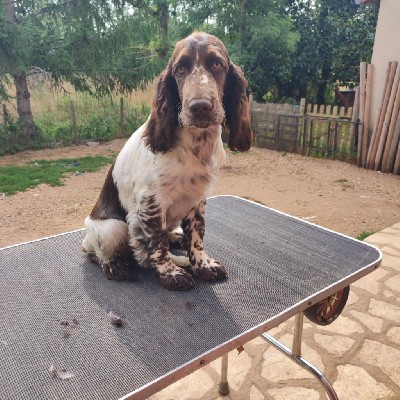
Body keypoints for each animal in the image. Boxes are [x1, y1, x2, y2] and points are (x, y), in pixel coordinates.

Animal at [82, 32, 252, 290]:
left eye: (216, 64)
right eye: (180, 69)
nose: (199, 106)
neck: (196, 143)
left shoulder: (197, 198)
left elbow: (197, 235)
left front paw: (203, 265)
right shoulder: (151, 201)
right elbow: (157, 242)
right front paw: (171, 274)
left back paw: (176, 239)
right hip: (113, 227)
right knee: (100, 252)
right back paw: (115, 264)